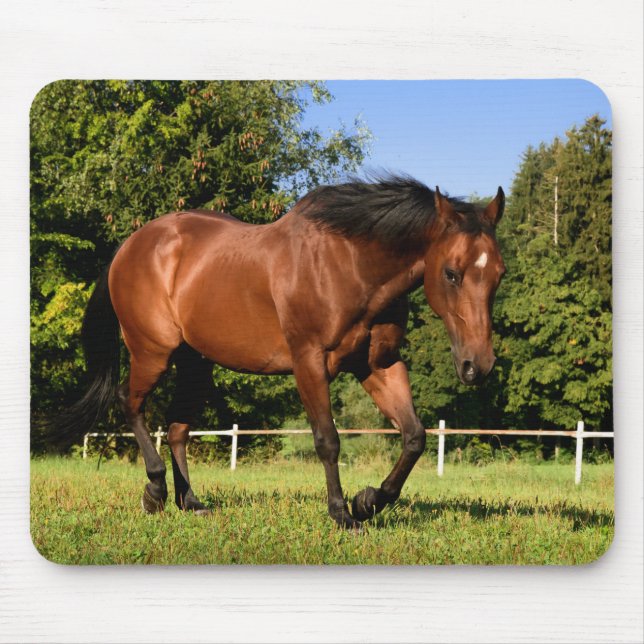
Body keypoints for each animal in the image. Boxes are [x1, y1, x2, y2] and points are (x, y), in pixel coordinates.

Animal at [59, 175, 505, 529]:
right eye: (451, 273)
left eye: (499, 274)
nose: (477, 366)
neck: (350, 265)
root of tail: (130, 246)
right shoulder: (308, 362)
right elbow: (328, 440)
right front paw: (342, 514)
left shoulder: (379, 365)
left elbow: (414, 437)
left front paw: (367, 502)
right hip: (153, 352)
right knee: (130, 403)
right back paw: (155, 491)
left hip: (196, 363)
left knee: (177, 428)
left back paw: (192, 502)